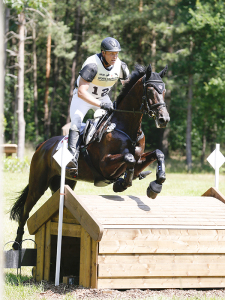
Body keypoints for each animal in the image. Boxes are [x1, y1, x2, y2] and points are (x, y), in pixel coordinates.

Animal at [9, 64, 170, 250]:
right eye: (150, 90)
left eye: (164, 90)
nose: (164, 119)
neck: (127, 128)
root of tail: (42, 146)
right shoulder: (104, 164)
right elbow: (128, 158)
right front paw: (121, 184)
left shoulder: (138, 162)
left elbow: (157, 153)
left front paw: (156, 186)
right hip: (38, 184)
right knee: (25, 211)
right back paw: (16, 244)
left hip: (64, 182)